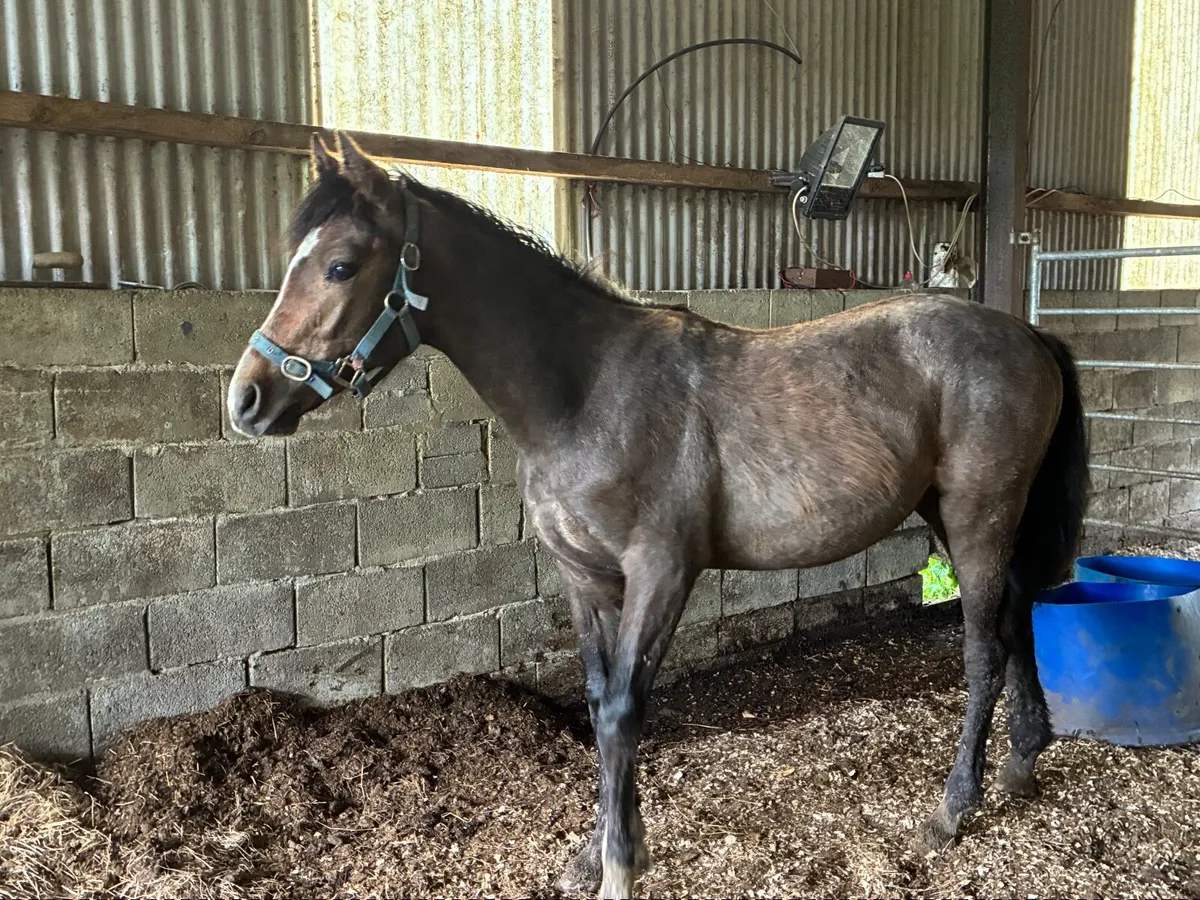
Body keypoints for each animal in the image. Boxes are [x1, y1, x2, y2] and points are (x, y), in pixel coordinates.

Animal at [227, 132, 1088, 899]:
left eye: (340, 265)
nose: (247, 400)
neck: (585, 394)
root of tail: (1029, 334)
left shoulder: (662, 572)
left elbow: (623, 712)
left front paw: (619, 865)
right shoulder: (587, 580)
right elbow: (599, 705)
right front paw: (595, 853)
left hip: (977, 516)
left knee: (982, 648)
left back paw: (953, 808)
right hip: (954, 514)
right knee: (1018, 615)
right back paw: (1021, 764)